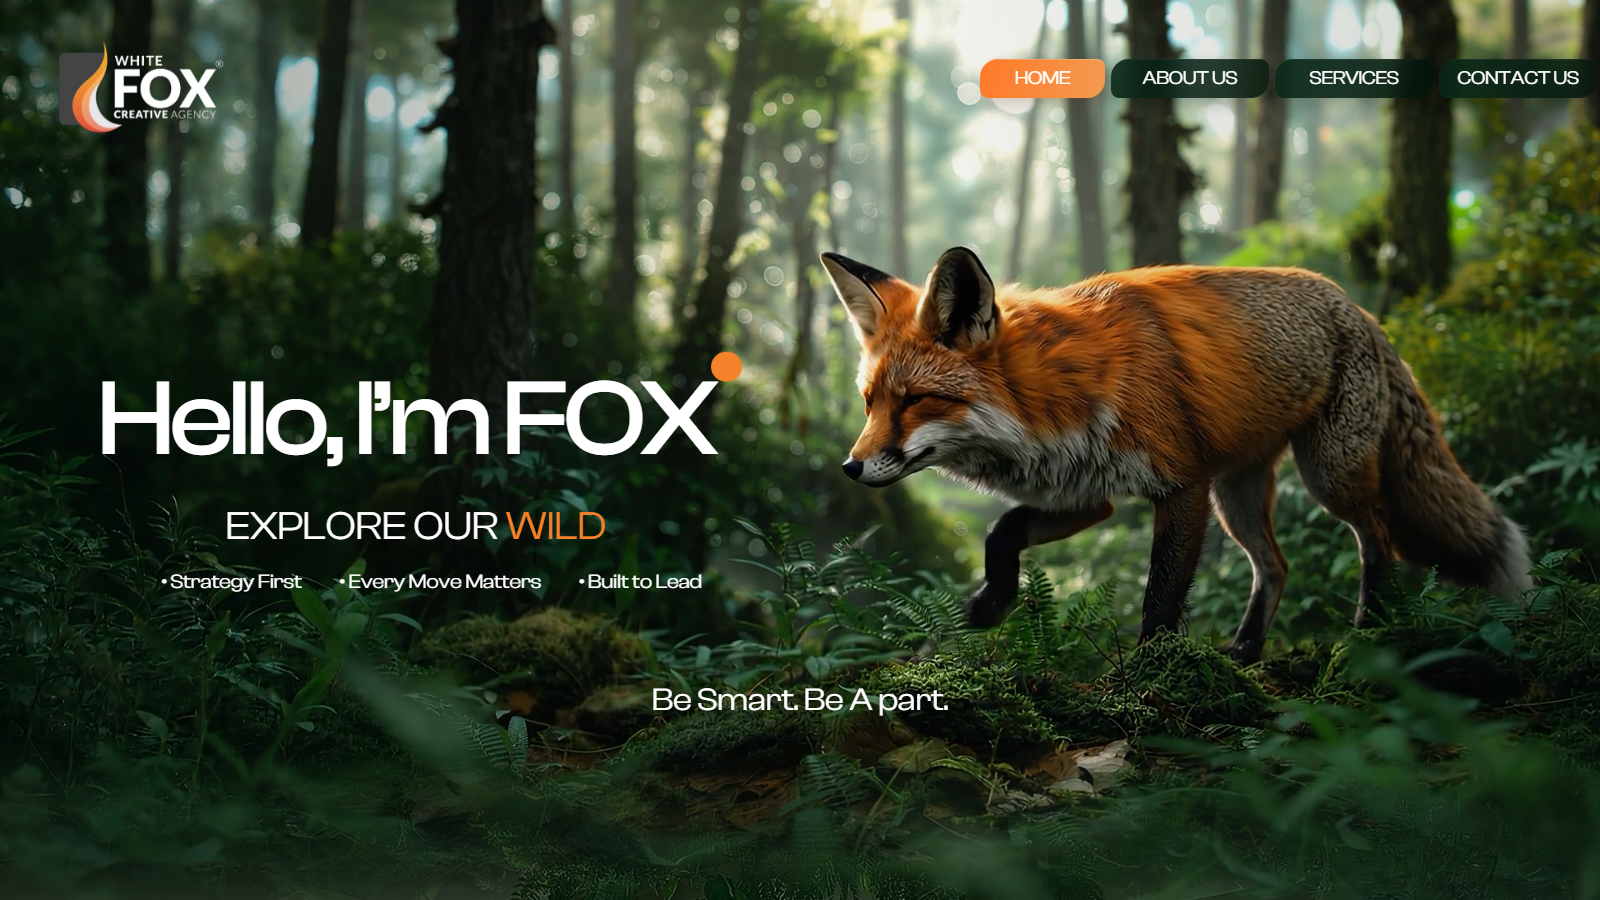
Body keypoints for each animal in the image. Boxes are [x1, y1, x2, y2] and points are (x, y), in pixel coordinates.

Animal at [821, 246, 1533, 662]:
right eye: (869, 403)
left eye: (914, 401)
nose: (851, 468)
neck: (1054, 395)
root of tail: (1358, 308)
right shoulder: (1087, 494)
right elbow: (1002, 531)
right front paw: (993, 602)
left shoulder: (1181, 485)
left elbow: (1160, 598)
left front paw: (1148, 680)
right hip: (1237, 496)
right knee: (1276, 566)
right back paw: (1245, 650)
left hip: (1324, 475)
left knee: (1377, 535)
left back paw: (1370, 628)